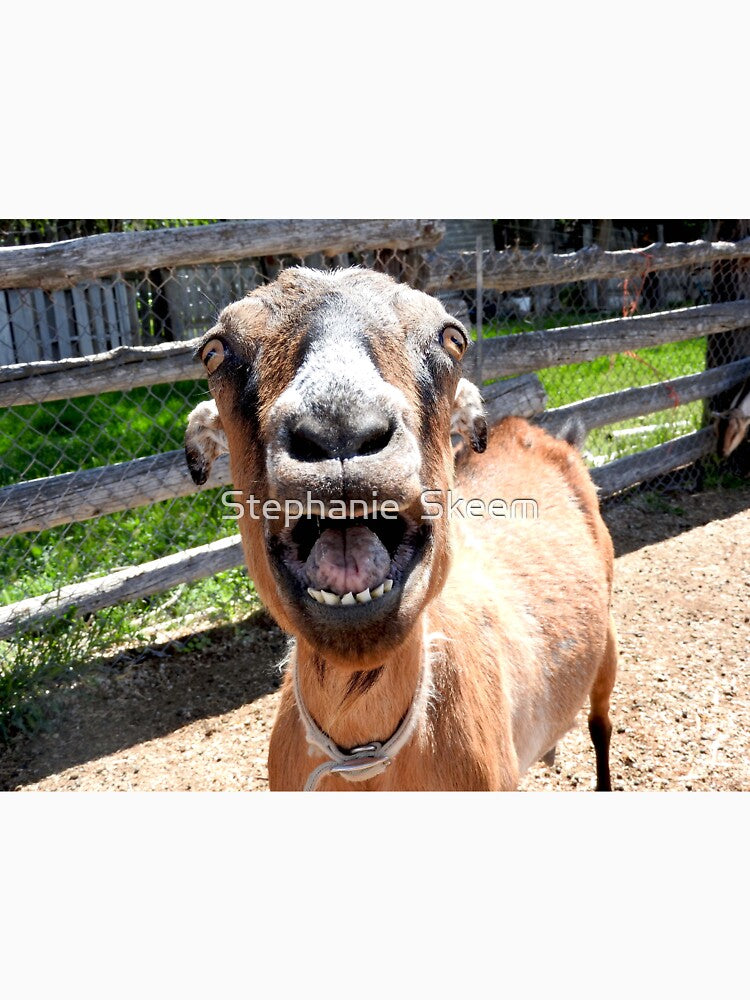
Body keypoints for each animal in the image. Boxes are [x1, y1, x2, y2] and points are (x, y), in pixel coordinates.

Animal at [184, 267, 617, 791]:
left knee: (600, 722)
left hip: (608, 639)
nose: (340, 427)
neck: (363, 760)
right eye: (214, 350)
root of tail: (541, 433)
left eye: (453, 338)